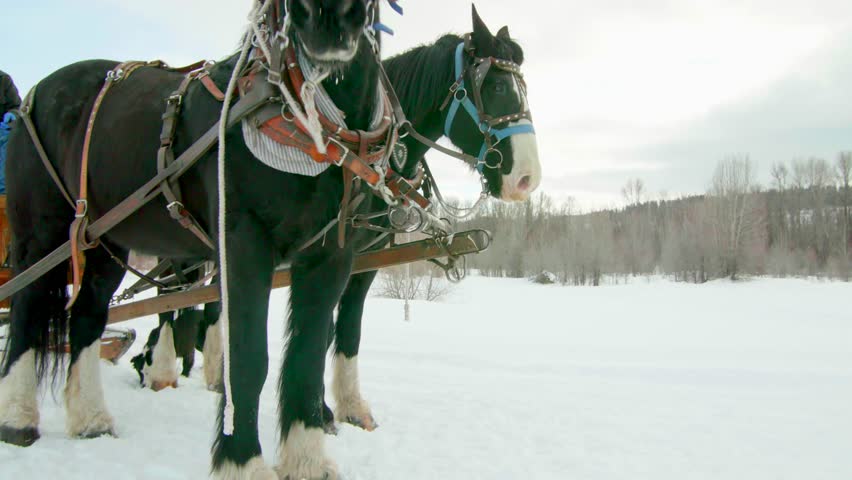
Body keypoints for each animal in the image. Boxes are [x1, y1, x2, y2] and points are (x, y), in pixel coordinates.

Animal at [0, 0, 390, 477]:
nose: (330, 16)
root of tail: (33, 96)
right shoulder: (243, 245)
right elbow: (247, 359)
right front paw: (242, 461)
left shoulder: (330, 257)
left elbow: (306, 359)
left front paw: (307, 462)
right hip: (40, 235)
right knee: (27, 309)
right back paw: (18, 419)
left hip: (102, 243)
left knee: (86, 316)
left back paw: (91, 419)